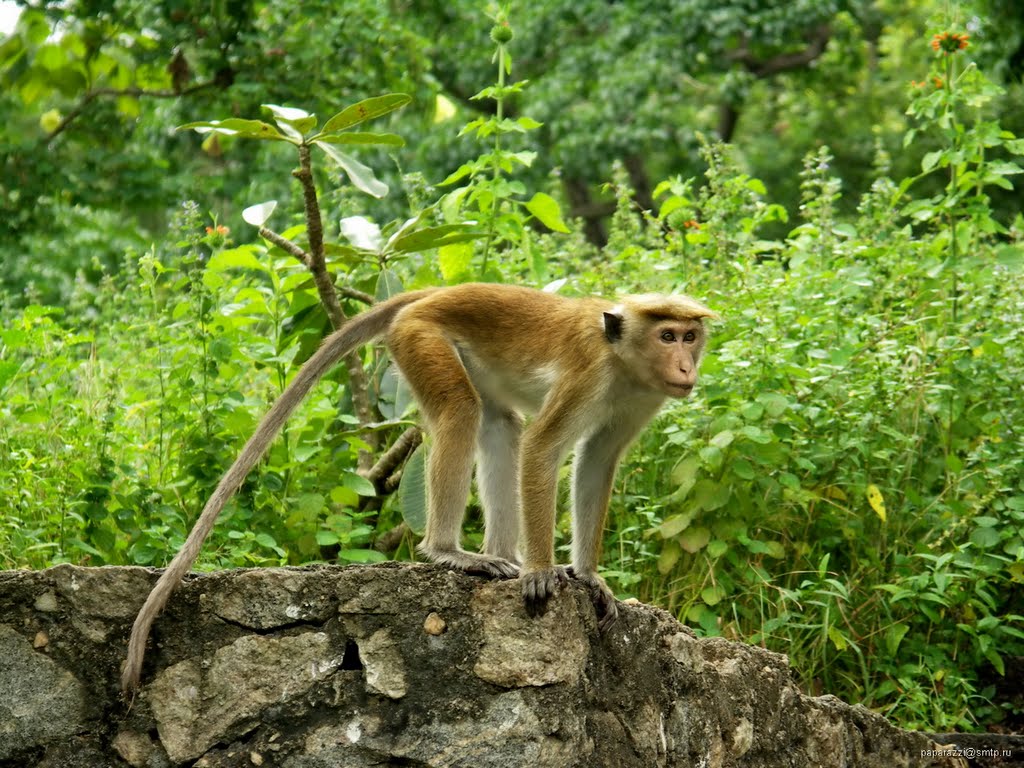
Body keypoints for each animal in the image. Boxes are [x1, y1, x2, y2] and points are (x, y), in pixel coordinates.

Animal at [119, 282, 716, 692]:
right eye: (667, 334)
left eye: (689, 336)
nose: (686, 366)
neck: (622, 359)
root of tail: (433, 293)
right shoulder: (589, 372)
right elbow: (544, 449)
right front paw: (543, 572)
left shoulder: (642, 395)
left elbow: (596, 460)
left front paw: (588, 577)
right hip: (420, 336)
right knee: (462, 413)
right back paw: (449, 551)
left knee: (498, 425)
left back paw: (499, 554)